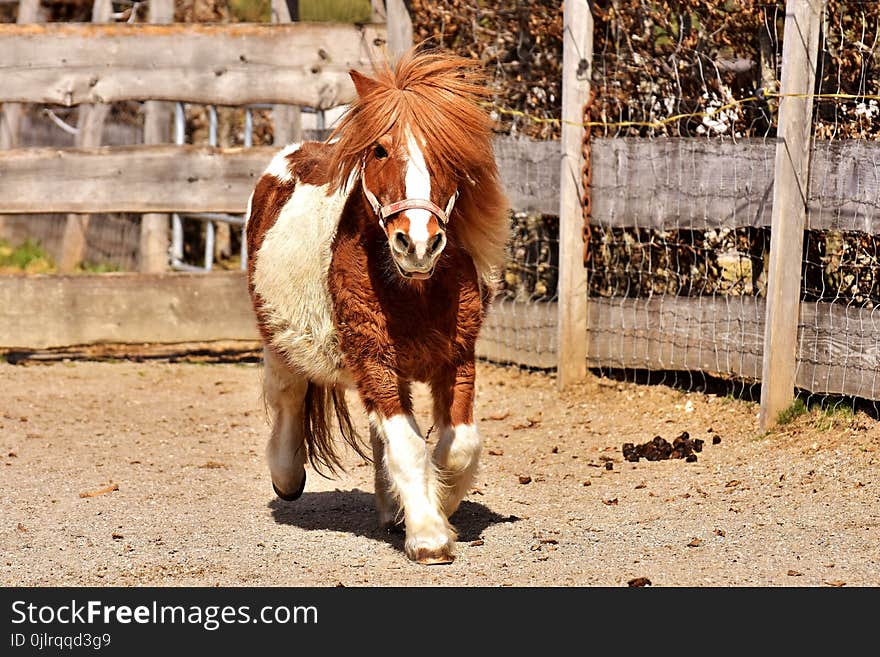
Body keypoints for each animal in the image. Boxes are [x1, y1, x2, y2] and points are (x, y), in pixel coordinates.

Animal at [246, 47, 508, 564]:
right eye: (381, 150)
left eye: (449, 154)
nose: (418, 243)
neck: (414, 291)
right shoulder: (375, 361)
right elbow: (407, 443)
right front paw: (428, 533)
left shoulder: (458, 360)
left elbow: (458, 445)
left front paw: (436, 503)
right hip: (280, 339)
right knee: (287, 396)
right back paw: (288, 478)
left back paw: (391, 508)